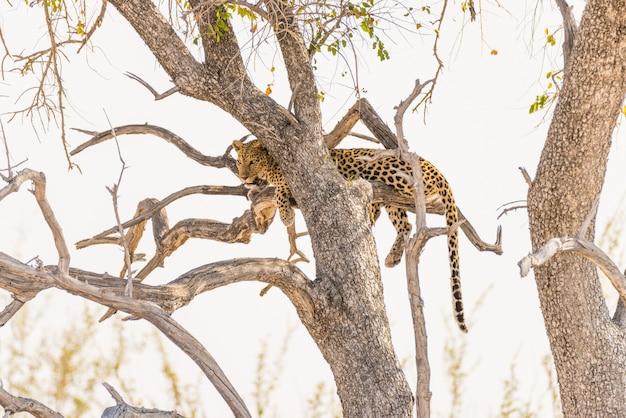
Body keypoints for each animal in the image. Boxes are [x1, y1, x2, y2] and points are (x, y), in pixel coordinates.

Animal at [232, 140, 466, 334]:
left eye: (252, 161)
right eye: (240, 162)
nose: (243, 177)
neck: (270, 167)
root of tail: (434, 167)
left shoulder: (295, 182)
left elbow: (281, 189)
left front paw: (286, 215)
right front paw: (253, 192)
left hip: (380, 169)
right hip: (393, 202)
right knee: (405, 224)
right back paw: (393, 256)